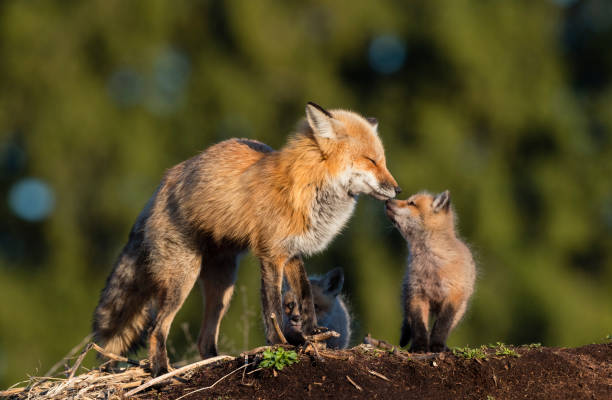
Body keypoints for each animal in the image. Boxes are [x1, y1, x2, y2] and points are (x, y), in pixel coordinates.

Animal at [92, 101, 402, 376]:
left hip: (222, 286)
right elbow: (272, 307)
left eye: (383, 161)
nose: (397, 190)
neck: (306, 187)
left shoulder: (293, 252)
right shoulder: (271, 254)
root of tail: (160, 187)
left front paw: (312, 332)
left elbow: (304, 294)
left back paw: (214, 364)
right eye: (371, 160)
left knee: (204, 341)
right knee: (157, 329)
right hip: (183, 279)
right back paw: (160, 373)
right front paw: (279, 344)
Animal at [384, 192, 476, 352]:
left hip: (460, 309)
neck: (431, 266)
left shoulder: (452, 295)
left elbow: (442, 326)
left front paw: (437, 345)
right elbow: (419, 325)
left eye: (411, 203)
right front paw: (419, 346)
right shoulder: (417, 293)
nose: (387, 200)